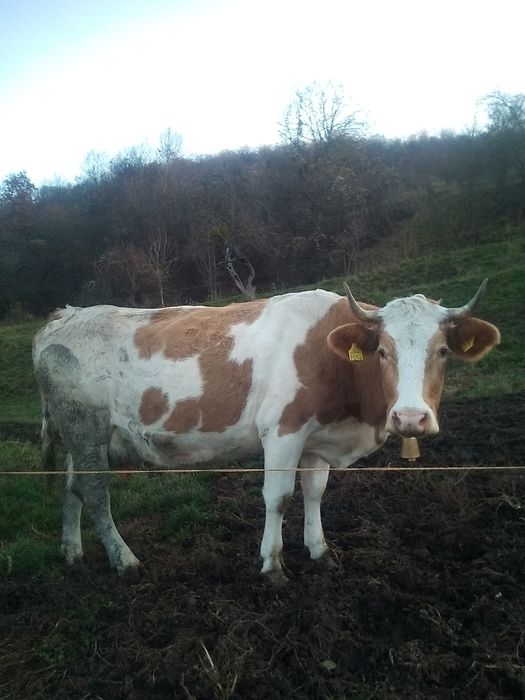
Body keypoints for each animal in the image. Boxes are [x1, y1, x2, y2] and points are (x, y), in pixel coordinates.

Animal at [33, 281, 500, 583]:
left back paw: (72, 553)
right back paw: (124, 560)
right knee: (95, 493)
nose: (410, 418)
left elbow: (314, 493)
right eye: (383, 351)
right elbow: (278, 498)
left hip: (78, 436)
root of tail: (64, 317)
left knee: (72, 488)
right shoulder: (282, 430)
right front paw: (273, 565)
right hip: (87, 428)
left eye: (443, 351)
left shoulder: (316, 438)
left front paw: (319, 551)